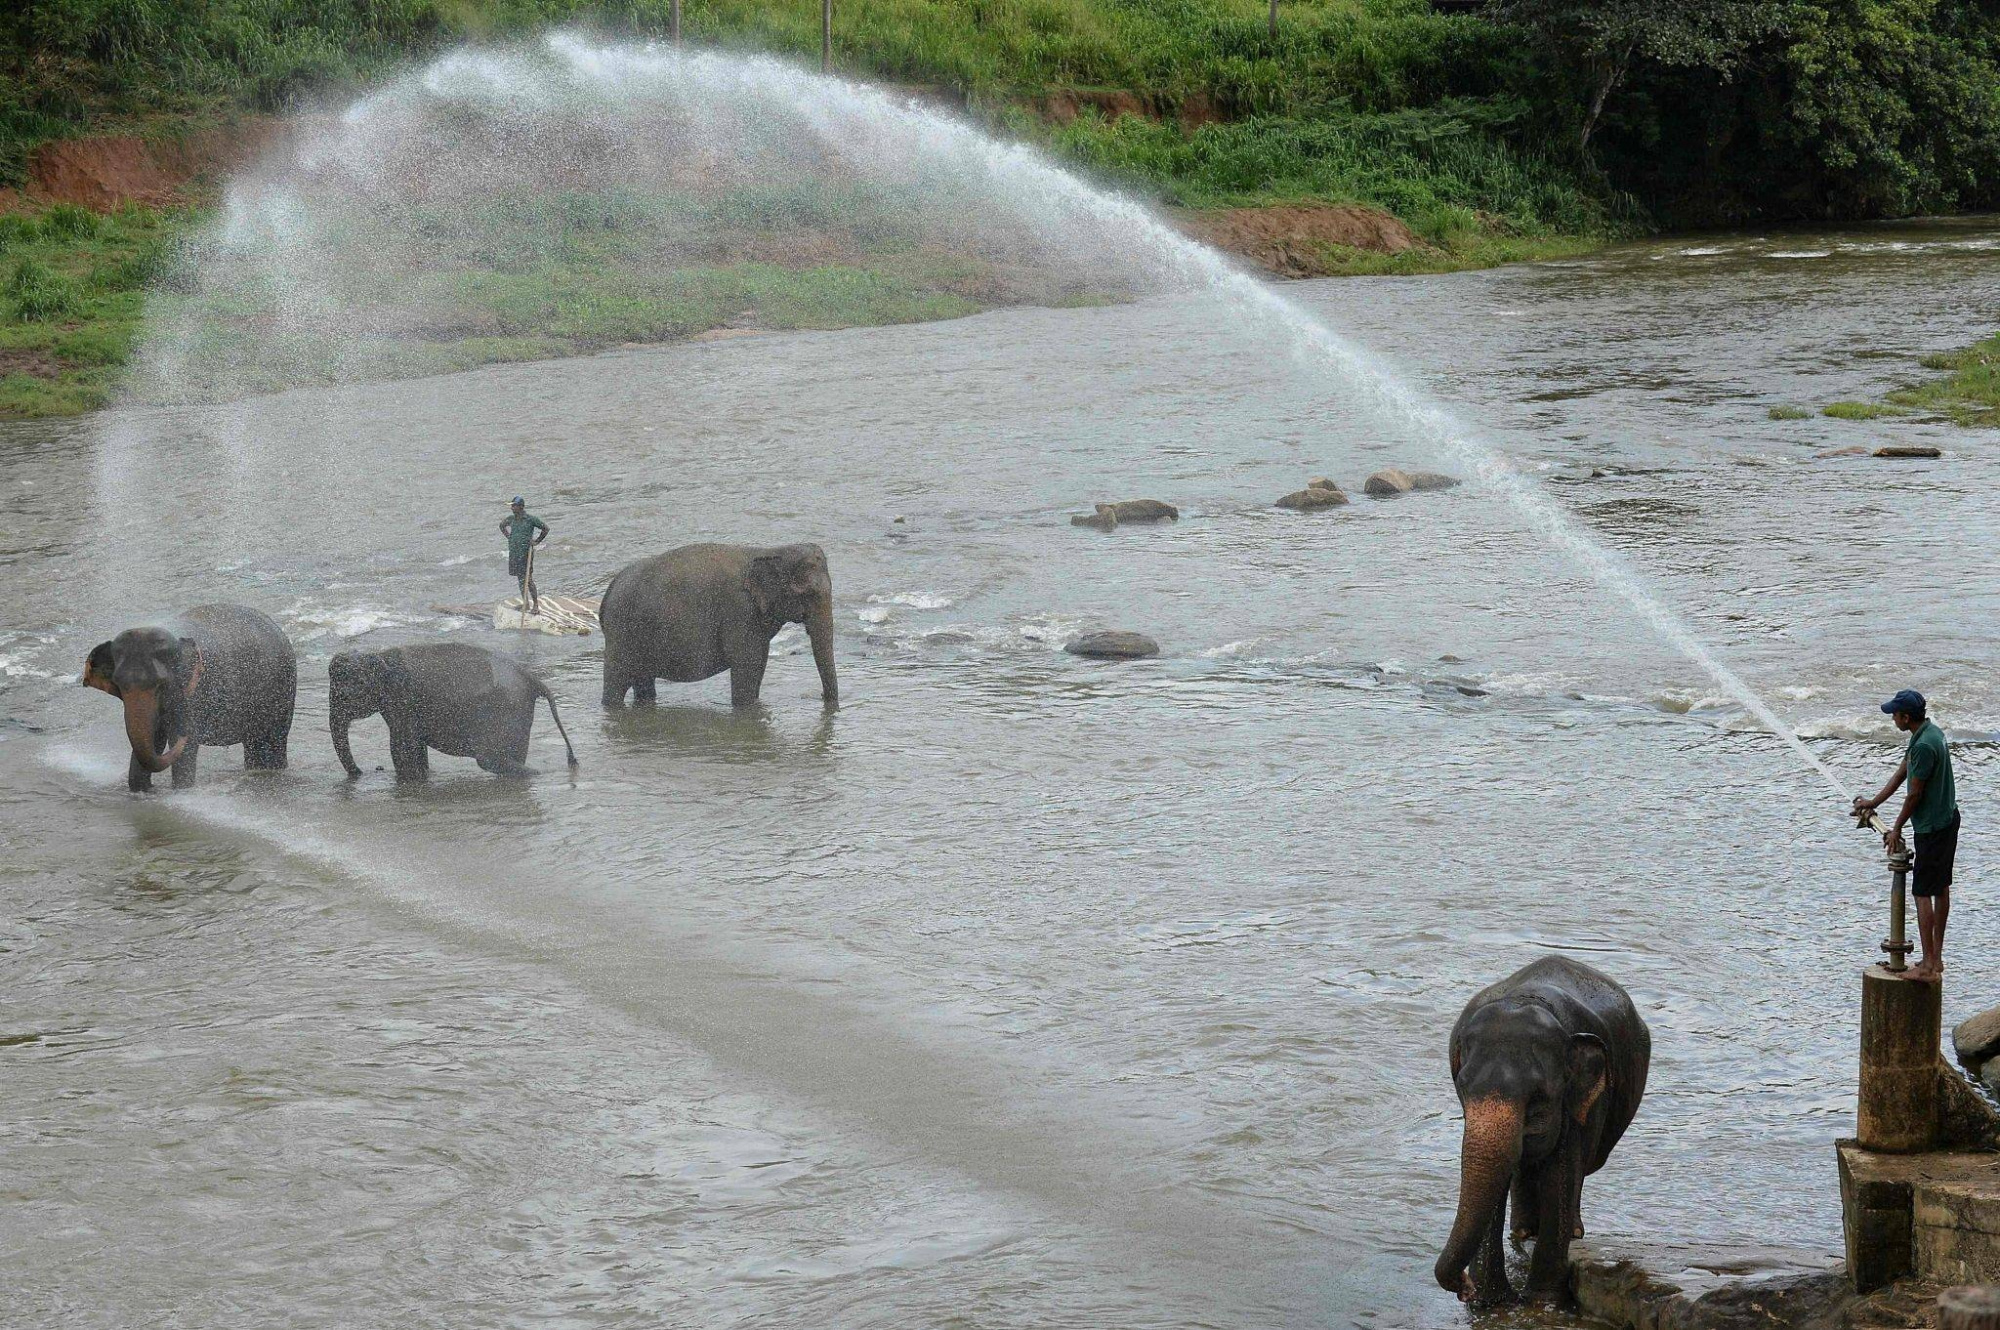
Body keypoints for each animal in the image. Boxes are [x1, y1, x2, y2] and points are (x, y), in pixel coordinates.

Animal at [83, 600, 296, 788]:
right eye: (119, 684)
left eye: (161, 684)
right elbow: (152, 740)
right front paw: (142, 790)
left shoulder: (196, 693)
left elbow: (184, 747)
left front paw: (182, 790)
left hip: (281, 692)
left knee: (270, 743)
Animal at [328, 644, 580, 780]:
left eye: (346, 695)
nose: (360, 771)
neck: (380, 656)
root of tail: (533, 679)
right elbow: (415, 747)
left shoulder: (403, 700)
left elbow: (402, 747)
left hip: (505, 712)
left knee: (489, 760)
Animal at [600, 540, 836, 712]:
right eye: (809, 593)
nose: (818, 696)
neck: (771, 550)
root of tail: (609, 591)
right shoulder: (740, 611)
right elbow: (747, 666)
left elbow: (759, 663)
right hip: (621, 633)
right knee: (616, 683)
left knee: (643, 683)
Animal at [1440, 956, 1656, 1304]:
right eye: (1462, 1086)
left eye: (1539, 1096)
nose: (1463, 1287)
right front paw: (1490, 1301)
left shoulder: (1579, 1099)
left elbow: (1561, 1170)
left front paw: (1543, 1300)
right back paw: (1523, 1232)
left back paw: (1571, 1233)